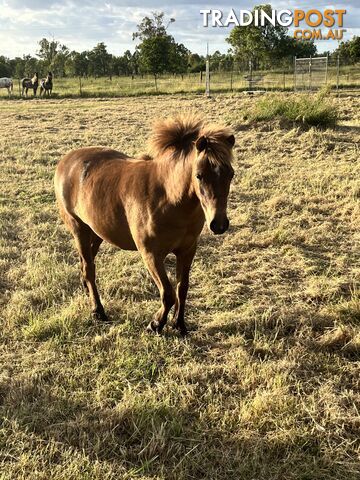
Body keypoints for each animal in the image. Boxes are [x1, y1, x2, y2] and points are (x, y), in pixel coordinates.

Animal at [52, 116, 233, 334]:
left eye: (231, 174)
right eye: (199, 175)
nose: (219, 224)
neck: (168, 197)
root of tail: (66, 161)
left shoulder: (187, 250)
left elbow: (182, 288)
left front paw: (179, 325)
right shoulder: (151, 254)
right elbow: (168, 293)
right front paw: (156, 324)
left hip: (96, 233)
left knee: (85, 266)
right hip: (79, 229)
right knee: (89, 269)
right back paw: (98, 311)